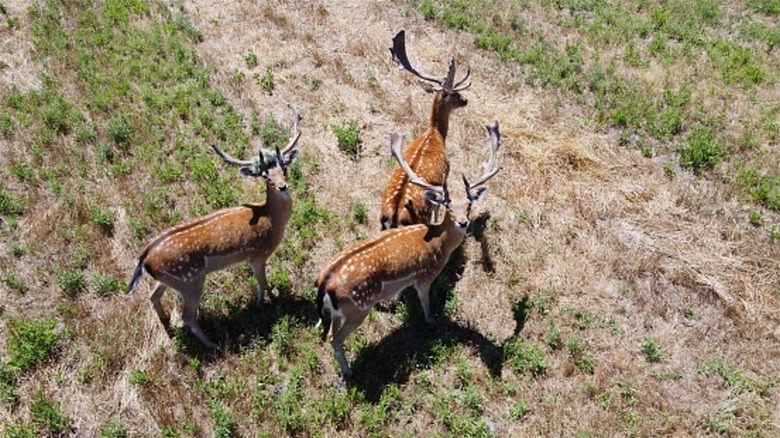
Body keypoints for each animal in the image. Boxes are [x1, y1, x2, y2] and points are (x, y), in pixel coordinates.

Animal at [126, 105, 302, 349]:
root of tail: (144, 260)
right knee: (188, 317)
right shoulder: (258, 255)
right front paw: (268, 303)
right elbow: (263, 283)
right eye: (266, 176)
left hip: (170, 280)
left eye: (284, 169)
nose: (282, 186)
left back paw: (166, 319)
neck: (271, 219)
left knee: (153, 296)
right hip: (191, 281)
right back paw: (213, 345)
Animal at [317, 121, 501, 377]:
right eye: (448, 206)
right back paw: (349, 373)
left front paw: (396, 300)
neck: (440, 242)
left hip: (337, 312)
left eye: (469, 204)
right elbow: (424, 301)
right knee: (336, 339)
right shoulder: (425, 276)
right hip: (358, 308)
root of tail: (325, 284)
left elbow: (400, 292)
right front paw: (431, 320)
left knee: (329, 334)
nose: (463, 222)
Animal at [379, 29, 473, 230]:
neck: (435, 133)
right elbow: (440, 204)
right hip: (419, 217)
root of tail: (394, 216)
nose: (465, 100)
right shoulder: (446, 175)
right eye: (455, 93)